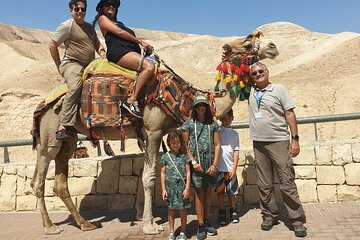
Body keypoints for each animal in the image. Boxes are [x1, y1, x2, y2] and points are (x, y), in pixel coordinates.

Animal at [30, 36, 278, 235]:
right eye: (247, 44)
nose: (273, 47)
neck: (181, 97)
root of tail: (43, 104)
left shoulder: (151, 135)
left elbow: (144, 175)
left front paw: (142, 215)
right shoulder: (154, 131)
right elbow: (149, 178)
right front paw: (150, 225)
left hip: (69, 139)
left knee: (59, 181)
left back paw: (84, 223)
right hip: (50, 134)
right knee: (39, 180)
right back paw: (50, 227)